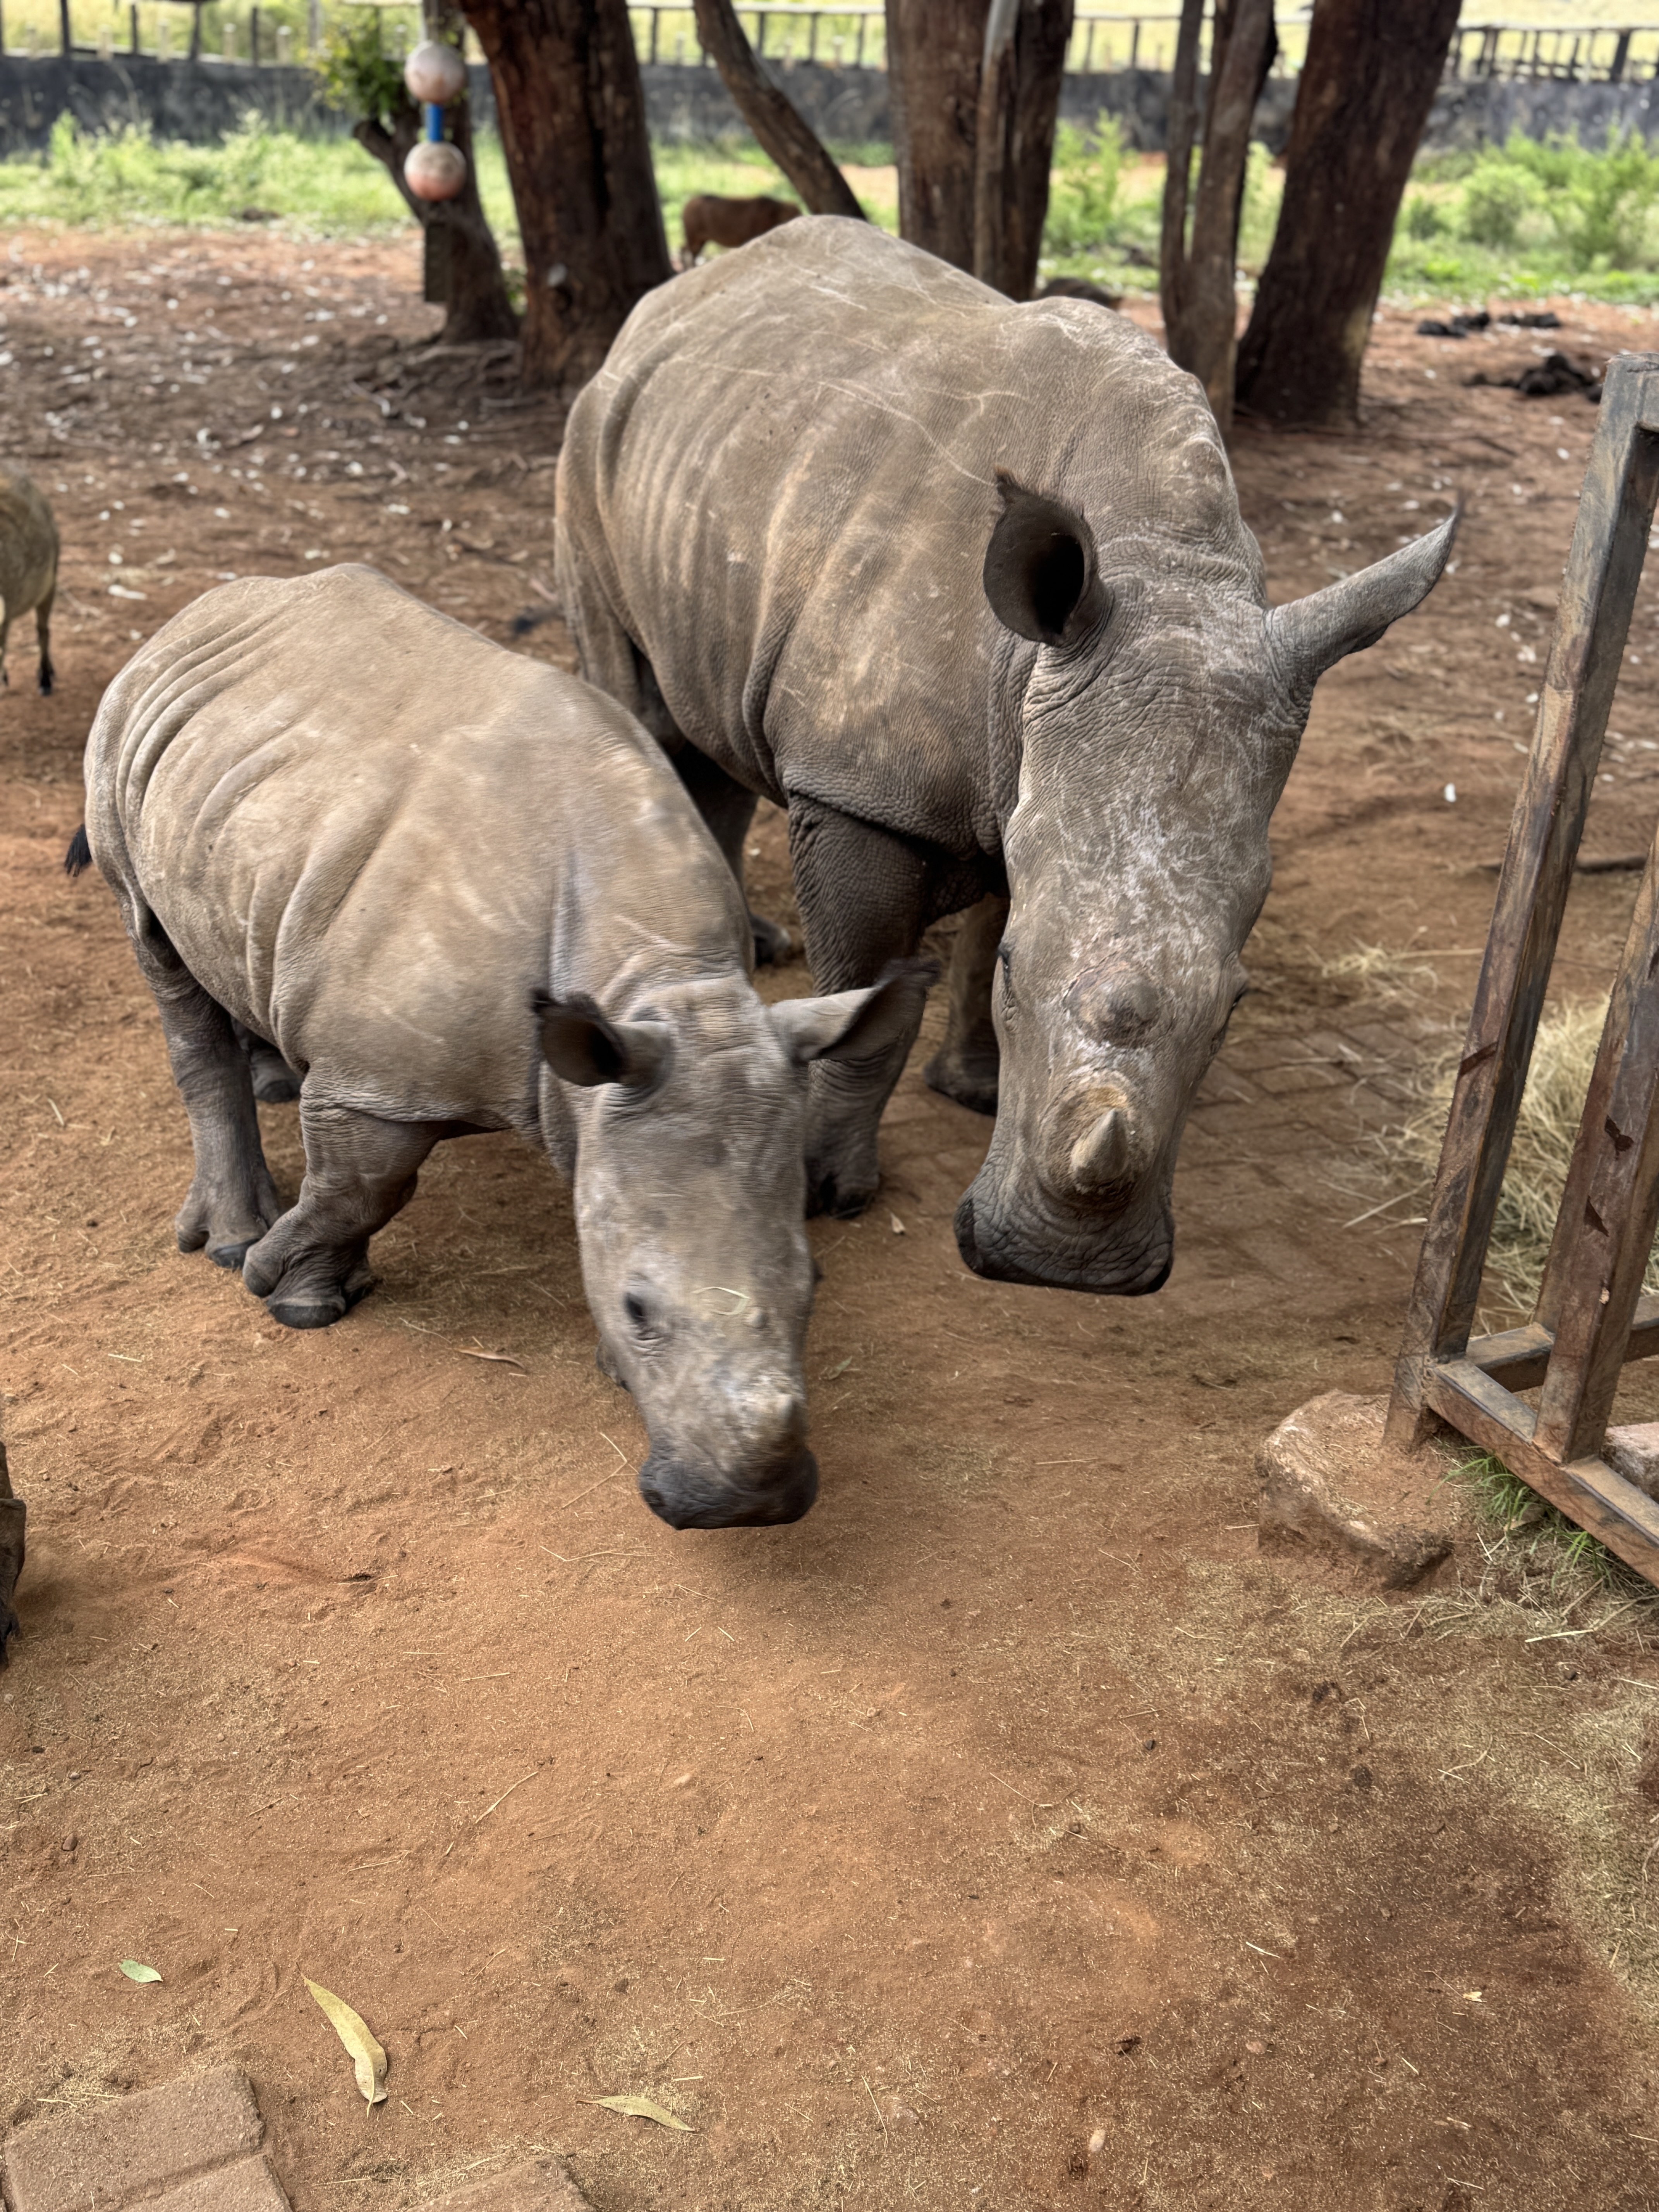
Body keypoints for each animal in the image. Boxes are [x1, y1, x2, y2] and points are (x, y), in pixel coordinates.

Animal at [74, 564, 928, 1529]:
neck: (658, 976)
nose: (745, 1507)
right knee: (159, 951)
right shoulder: (380, 1081)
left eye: (814, 1285)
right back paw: (228, 1239)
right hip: (120, 741)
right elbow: (362, 1187)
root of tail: (194, 612)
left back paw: (274, 1075)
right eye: (638, 1308)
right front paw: (287, 1295)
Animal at [556, 217, 1454, 1294]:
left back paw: (745, 947)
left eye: (1235, 1007)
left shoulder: (1019, 752)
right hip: (590, 438)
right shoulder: (865, 790)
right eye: (1028, 974)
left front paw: (975, 1091)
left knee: (709, 720)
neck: (1163, 566)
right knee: (642, 703)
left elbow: (990, 910)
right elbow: (874, 999)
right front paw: (827, 1193)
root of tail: (674, 301)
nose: (1070, 1274)